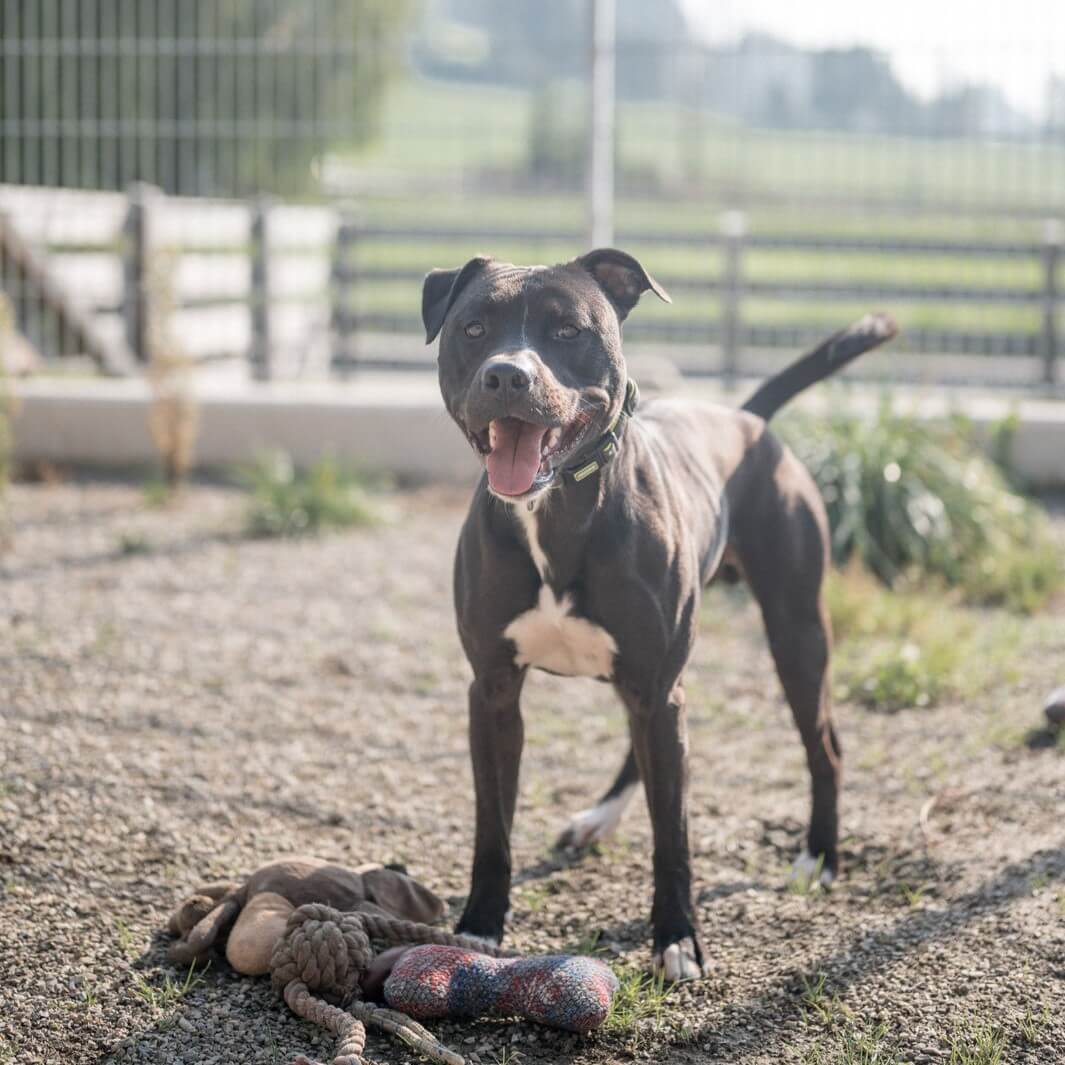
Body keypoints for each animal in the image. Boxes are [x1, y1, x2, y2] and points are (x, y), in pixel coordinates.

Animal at [422, 248, 895, 981]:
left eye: (567, 330)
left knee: (824, 746)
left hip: (795, 633)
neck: (557, 511)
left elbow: (673, 832)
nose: (506, 374)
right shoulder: (494, 691)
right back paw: (601, 816)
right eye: (473, 329)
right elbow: (491, 822)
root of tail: (747, 420)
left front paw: (677, 936)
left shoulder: (657, 684)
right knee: (643, 744)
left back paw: (818, 856)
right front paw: (480, 923)